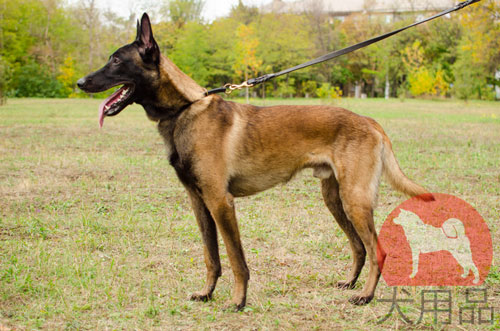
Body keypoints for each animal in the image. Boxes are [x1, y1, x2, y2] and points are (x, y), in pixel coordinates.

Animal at [77, 11, 434, 310]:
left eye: (116, 60)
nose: (80, 83)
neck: (185, 109)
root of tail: (370, 121)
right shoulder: (199, 202)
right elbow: (211, 257)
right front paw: (207, 293)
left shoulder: (221, 202)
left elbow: (236, 260)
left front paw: (238, 301)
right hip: (335, 199)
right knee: (360, 247)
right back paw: (351, 283)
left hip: (354, 200)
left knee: (377, 250)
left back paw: (367, 295)